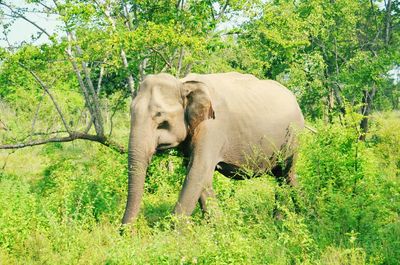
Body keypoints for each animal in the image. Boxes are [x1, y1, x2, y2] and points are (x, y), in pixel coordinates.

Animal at [121, 72, 304, 225]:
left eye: (160, 118)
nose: (125, 232)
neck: (184, 83)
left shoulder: (212, 128)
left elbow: (198, 169)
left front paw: (170, 235)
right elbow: (199, 174)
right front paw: (218, 226)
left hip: (293, 136)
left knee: (286, 173)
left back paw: (286, 220)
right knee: (285, 176)